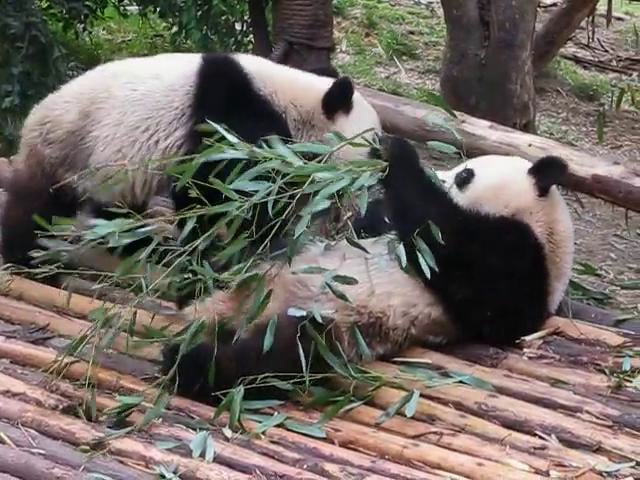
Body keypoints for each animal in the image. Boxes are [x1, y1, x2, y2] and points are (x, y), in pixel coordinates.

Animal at [161, 135, 576, 402]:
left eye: (464, 175)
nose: (442, 174)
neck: (543, 226)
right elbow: (373, 225)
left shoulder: (518, 264)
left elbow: (447, 238)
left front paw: (396, 153)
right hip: (261, 265)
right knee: (223, 263)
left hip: (331, 325)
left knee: (282, 353)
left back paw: (189, 363)